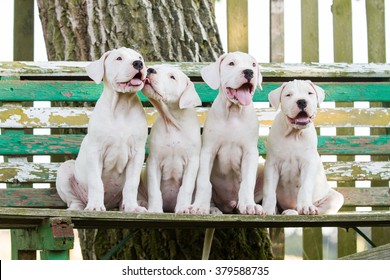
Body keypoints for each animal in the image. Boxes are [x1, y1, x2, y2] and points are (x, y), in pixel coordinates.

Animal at [56, 47, 149, 212]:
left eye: (139, 58)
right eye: (119, 58)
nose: (138, 64)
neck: (121, 106)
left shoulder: (137, 154)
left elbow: (131, 184)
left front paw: (133, 208)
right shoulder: (95, 151)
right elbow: (96, 182)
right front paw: (95, 207)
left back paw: (128, 205)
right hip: (65, 171)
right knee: (75, 200)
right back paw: (79, 207)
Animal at [142, 65, 201, 212]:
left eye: (172, 77)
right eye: (156, 67)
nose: (150, 69)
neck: (173, 121)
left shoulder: (192, 162)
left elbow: (186, 188)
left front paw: (183, 208)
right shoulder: (153, 161)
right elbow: (154, 189)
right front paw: (155, 210)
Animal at [187, 52, 266, 214]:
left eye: (253, 65)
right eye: (231, 64)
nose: (249, 72)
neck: (234, 112)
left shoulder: (250, 152)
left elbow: (248, 181)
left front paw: (249, 205)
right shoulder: (208, 151)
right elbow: (203, 181)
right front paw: (199, 206)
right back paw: (212, 209)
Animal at [260, 80, 342, 215]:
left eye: (310, 93)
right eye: (288, 95)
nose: (302, 101)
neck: (294, 134)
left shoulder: (308, 164)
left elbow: (305, 187)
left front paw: (305, 206)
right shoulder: (272, 165)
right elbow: (269, 190)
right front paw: (267, 209)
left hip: (335, 198)